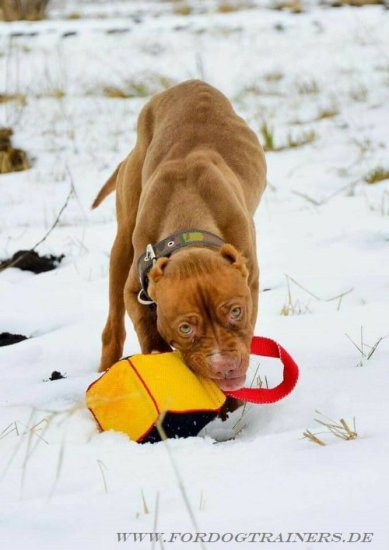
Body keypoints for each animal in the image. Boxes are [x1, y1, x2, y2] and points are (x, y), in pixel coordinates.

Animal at [92, 78, 266, 396]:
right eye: (185, 327)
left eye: (236, 311)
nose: (225, 367)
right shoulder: (135, 292)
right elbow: (149, 335)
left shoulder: (251, 282)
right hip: (123, 242)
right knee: (113, 323)